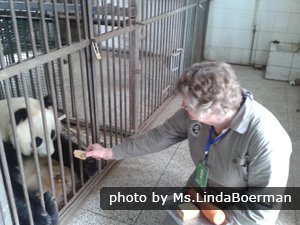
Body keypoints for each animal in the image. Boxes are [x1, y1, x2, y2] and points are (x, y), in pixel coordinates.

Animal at [0, 96, 97, 225]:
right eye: (37, 140)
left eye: (51, 134)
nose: (49, 153)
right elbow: (9, 189)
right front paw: (40, 216)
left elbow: (62, 147)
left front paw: (88, 165)